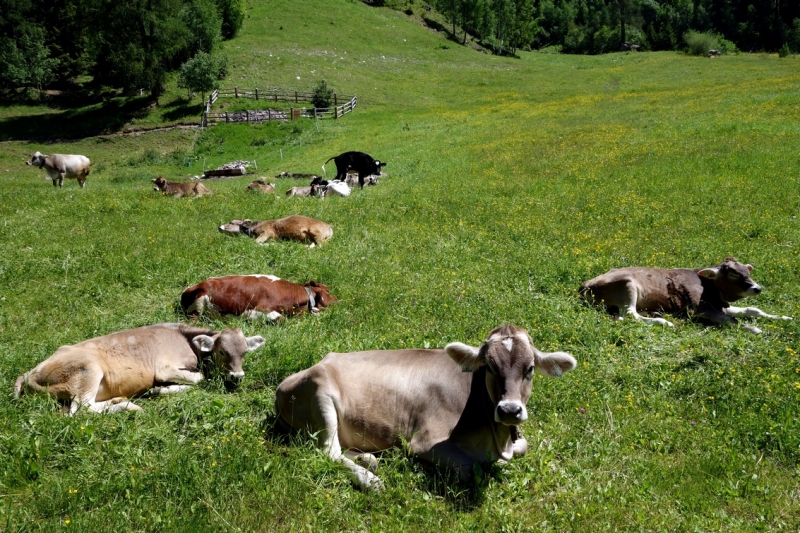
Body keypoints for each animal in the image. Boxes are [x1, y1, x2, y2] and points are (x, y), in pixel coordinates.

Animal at [14, 322, 266, 414]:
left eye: (245, 352)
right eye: (222, 351)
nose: (237, 376)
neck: (184, 337)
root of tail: (30, 374)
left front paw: (160, 390)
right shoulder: (164, 368)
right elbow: (200, 378)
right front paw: (160, 389)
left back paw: (120, 401)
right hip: (88, 370)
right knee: (81, 409)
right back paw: (127, 406)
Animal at [276, 322, 576, 488]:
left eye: (530, 369)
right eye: (490, 367)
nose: (509, 410)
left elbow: (522, 447)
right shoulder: (425, 441)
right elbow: (472, 468)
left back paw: (368, 459)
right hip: (320, 394)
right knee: (328, 452)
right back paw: (370, 481)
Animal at [580, 256, 792, 332]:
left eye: (747, 271)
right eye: (732, 272)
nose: (757, 288)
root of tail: (584, 284)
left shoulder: (722, 305)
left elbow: (752, 309)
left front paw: (785, 318)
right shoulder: (698, 308)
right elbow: (731, 320)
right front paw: (755, 329)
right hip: (627, 284)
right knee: (629, 315)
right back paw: (664, 322)